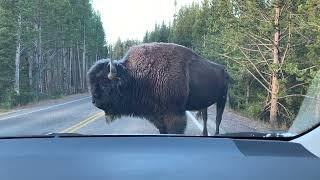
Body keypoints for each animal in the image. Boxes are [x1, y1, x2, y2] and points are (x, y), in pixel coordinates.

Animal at [86, 42, 229, 135]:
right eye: (92, 84)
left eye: (105, 84)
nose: (94, 101)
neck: (135, 77)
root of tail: (224, 70)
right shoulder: (158, 116)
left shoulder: (174, 115)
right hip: (206, 103)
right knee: (205, 117)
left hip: (222, 99)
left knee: (218, 118)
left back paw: (216, 134)